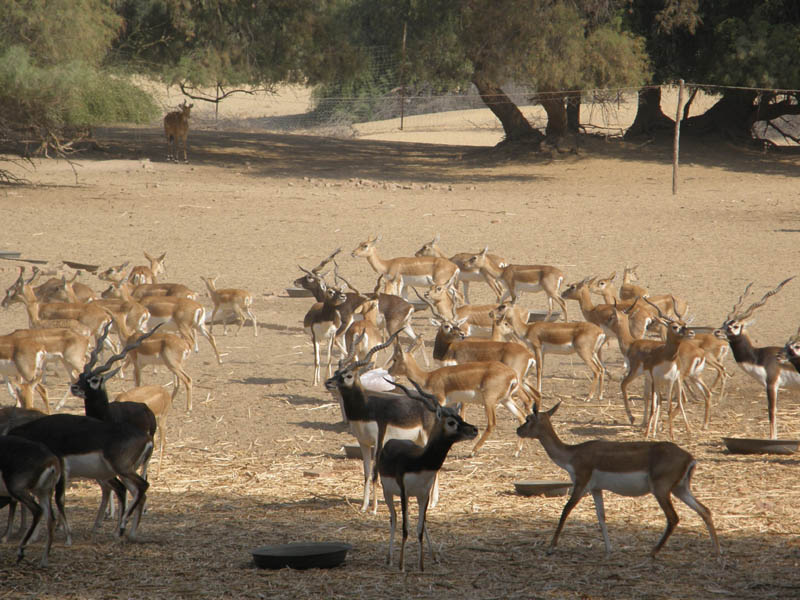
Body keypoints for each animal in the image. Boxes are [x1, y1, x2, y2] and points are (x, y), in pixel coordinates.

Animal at [380, 380, 478, 572]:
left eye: (460, 418)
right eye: (451, 422)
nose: (474, 429)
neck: (420, 462)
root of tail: (391, 442)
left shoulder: (424, 494)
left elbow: (419, 527)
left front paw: (422, 565)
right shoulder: (404, 492)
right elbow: (405, 527)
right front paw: (402, 565)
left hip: (414, 497)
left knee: (420, 522)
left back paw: (431, 557)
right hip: (388, 493)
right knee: (393, 518)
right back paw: (389, 558)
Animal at [386, 338, 524, 454]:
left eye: (395, 359)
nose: (389, 371)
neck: (428, 377)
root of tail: (512, 374)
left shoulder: (440, 400)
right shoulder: (449, 403)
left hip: (489, 401)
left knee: (492, 423)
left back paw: (473, 451)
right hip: (506, 400)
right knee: (521, 416)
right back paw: (516, 451)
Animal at [516, 400, 720, 560]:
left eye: (528, 418)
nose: (518, 430)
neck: (572, 454)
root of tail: (690, 458)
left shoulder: (581, 483)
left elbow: (566, 509)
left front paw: (550, 548)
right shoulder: (596, 488)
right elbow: (601, 516)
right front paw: (608, 549)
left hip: (661, 489)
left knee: (673, 517)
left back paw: (653, 552)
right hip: (681, 489)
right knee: (705, 511)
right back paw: (717, 553)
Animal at [720, 278, 796, 438]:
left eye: (735, 326)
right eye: (724, 323)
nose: (717, 332)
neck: (759, 357)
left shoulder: (772, 384)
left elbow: (772, 412)